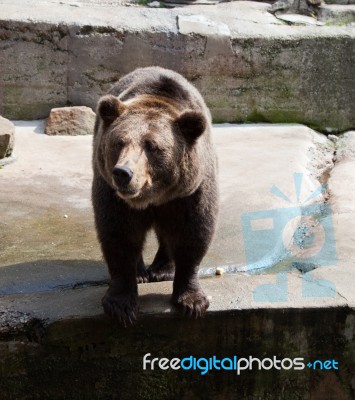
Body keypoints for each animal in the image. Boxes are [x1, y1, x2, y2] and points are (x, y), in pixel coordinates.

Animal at [93, 67, 218, 326]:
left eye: (152, 146)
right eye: (119, 142)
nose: (123, 173)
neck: (153, 197)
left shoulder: (190, 193)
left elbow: (193, 234)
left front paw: (192, 301)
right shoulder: (113, 196)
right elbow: (119, 235)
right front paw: (121, 305)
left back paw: (162, 269)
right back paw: (141, 273)